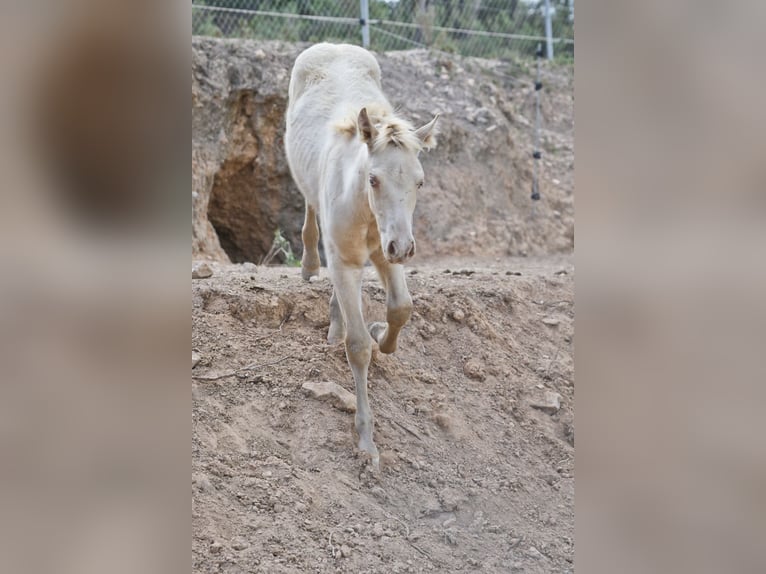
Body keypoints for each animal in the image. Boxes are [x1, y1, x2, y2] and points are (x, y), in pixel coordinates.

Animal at [284, 42, 440, 470]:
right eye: (374, 178)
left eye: (420, 181)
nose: (405, 247)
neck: (366, 213)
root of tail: (333, 45)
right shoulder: (346, 260)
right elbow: (358, 347)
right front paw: (366, 441)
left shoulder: (384, 254)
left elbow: (401, 308)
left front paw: (382, 336)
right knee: (310, 209)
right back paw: (309, 266)